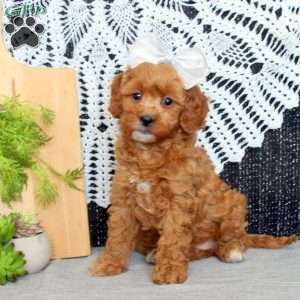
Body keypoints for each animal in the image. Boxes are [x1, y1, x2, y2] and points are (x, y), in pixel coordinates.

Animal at [89, 62, 296, 284]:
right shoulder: (124, 200)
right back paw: (156, 253)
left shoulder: (179, 201)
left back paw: (231, 250)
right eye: (136, 96)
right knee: (193, 250)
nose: (146, 119)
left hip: (234, 203)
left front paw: (169, 271)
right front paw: (109, 264)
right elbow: (118, 235)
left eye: (168, 101)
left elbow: (173, 238)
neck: (149, 153)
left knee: (233, 235)